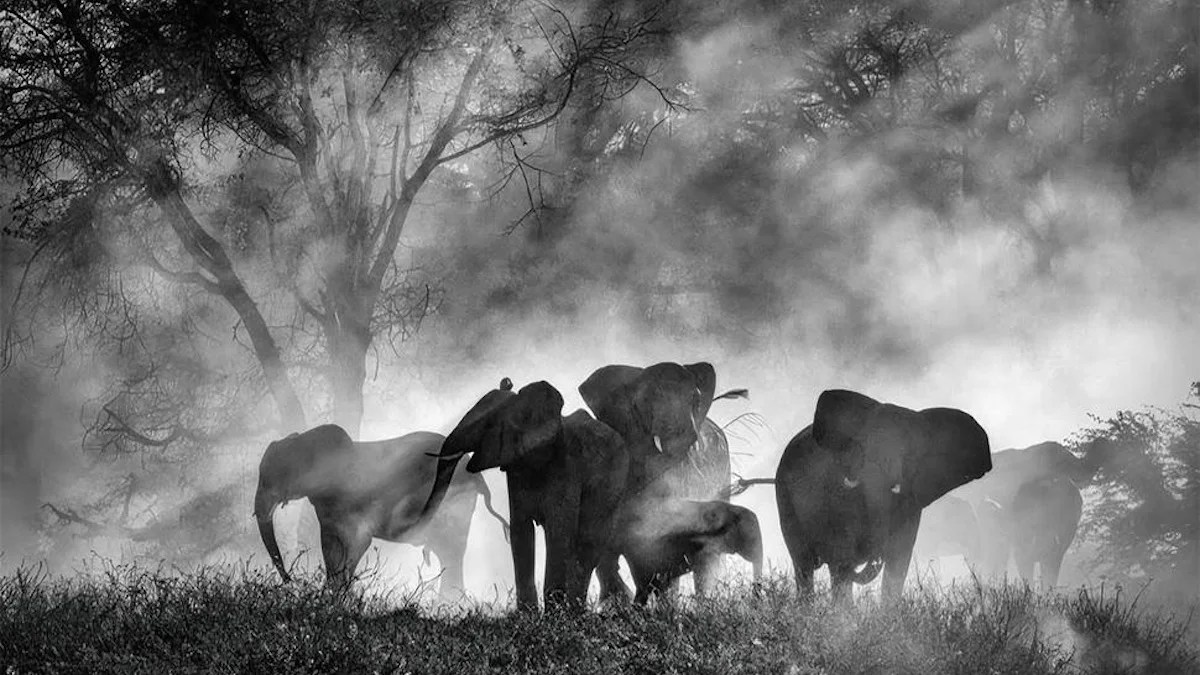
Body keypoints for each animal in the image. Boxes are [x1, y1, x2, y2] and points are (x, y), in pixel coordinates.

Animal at [253, 424, 508, 595]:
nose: (291, 581)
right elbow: (330, 547)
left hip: (455, 503)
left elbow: (358, 543)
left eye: (272, 478)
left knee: (451, 551)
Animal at [421, 379, 630, 611]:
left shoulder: (567, 467)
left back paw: (575, 611)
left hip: (614, 488)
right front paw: (527, 614)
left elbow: (559, 531)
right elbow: (521, 531)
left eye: (487, 425)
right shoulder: (515, 469)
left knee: (588, 545)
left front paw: (554, 614)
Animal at [776, 389, 992, 603]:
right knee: (803, 565)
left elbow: (898, 561)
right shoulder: (836, 494)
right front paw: (845, 612)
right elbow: (842, 556)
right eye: (863, 448)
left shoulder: (910, 503)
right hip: (785, 498)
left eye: (909, 454)